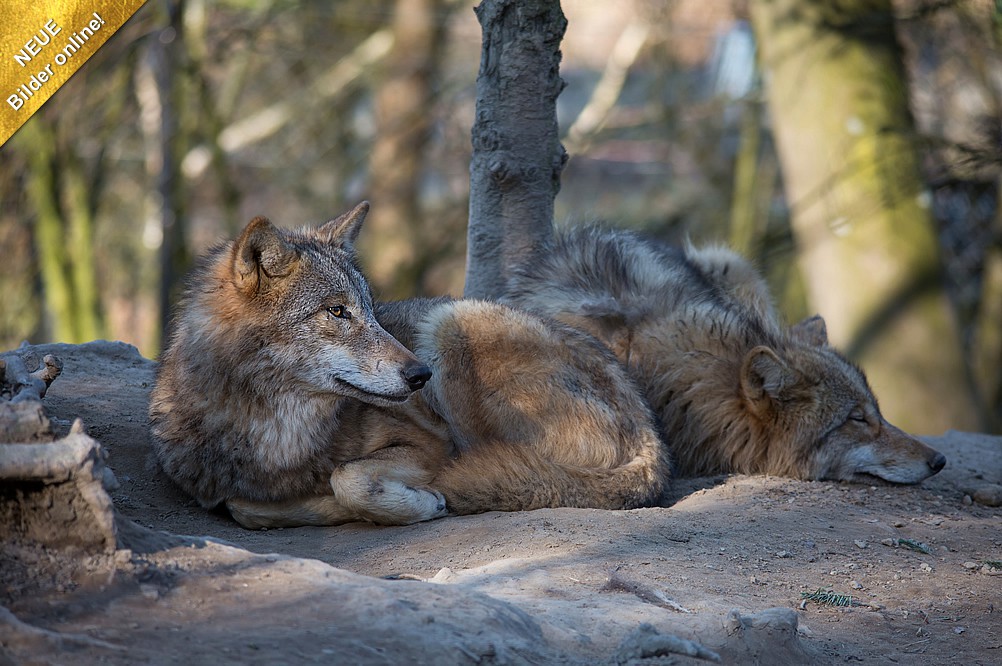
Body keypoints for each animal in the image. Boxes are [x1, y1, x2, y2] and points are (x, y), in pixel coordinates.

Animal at [148, 205, 669, 528]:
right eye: (337, 311)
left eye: (371, 310)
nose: (419, 376)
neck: (276, 435)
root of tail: (651, 437)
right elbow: (244, 506)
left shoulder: (431, 442)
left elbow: (347, 478)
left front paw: (412, 503)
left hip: (448, 323)